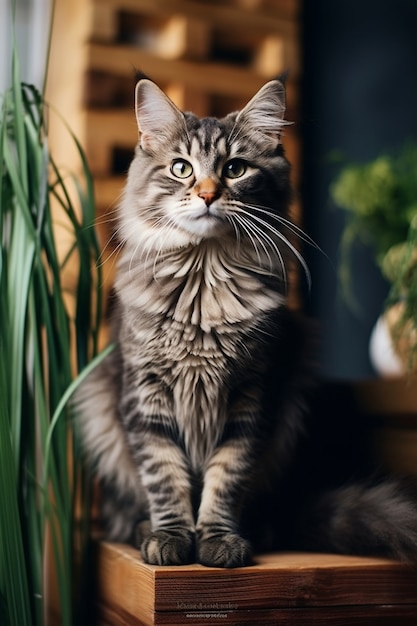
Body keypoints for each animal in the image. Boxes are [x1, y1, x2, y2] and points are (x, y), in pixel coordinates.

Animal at [74, 78, 416, 564]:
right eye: (181, 168)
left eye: (235, 169)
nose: (207, 194)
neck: (202, 286)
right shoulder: (145, 396)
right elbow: (164, 477)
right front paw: (171, 537)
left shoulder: (251, 397)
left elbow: (225, 479)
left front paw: (217, 540)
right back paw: (142, 528)